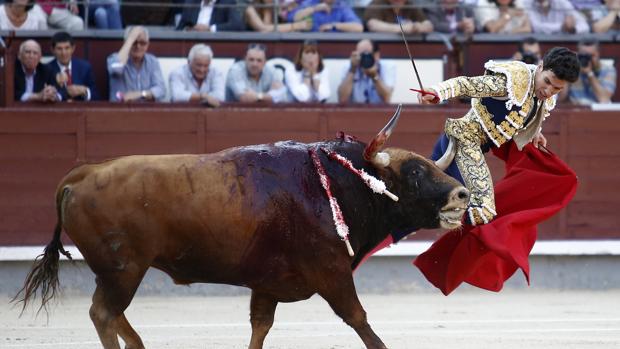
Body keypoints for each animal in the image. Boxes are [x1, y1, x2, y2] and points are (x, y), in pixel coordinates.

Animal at [15, 106, 470, 348]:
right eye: (414, 172)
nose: (462, 195)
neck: (337, 183)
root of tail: (82, 174)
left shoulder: (266, 284)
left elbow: (260, 326)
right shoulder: (332, 273)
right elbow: (359, 320)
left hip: (117, 273)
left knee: (110, 314)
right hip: (123, 270)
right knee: (103, 314)